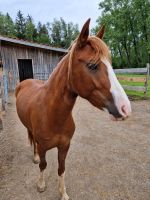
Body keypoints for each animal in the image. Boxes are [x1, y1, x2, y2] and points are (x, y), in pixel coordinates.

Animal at [15, 19, 131, 200]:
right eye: (92, 65)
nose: (125, 108)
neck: (52, 114)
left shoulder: (65, 146)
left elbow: (61, 169)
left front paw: (63, 193)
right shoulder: (43, 147)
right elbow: (43, 165)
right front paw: (41, 185)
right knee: (32, 141)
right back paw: (34, 157)